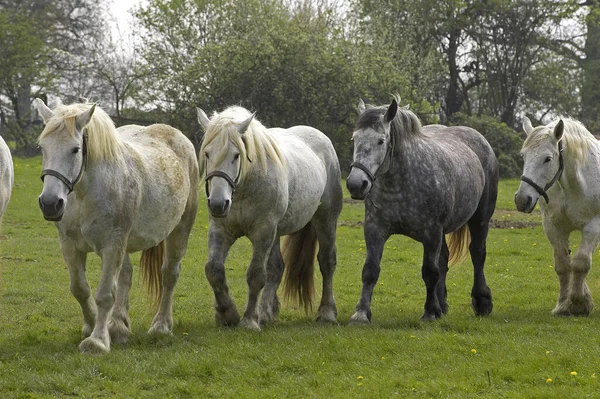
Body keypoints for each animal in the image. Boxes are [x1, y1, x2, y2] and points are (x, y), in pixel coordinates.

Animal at [34, 99, 199, 354]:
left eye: (75, 149)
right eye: (43, 148)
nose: (50, 203)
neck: (85, 193)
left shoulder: (112, 246)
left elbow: (104, 294)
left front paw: (97, 341)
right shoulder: (70, 246)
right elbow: (80, 288)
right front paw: (93, 325)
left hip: (180, 230)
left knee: (169, 274)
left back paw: (161, 326)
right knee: (126, 276)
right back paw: (119, 327)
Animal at [197, 105, 342, 332]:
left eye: (236, 155)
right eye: (207, 153)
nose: (218, 204)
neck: (244, 188)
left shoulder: (263, 231)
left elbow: (256, 275)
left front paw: (249, 320)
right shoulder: (221, 231)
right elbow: (214, 270)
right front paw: (227, 313)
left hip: (325, 220)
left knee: (327, 261)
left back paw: (327, 313)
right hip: (276, 232)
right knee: (276, 268)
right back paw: (265, 313)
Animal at [512, 117, 600, 318]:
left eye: (547, 159)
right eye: (523, 156)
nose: (522, 200)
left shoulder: (593, 227)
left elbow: (581, 263)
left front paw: (577, 303)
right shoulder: (553, 227)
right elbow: (563, 265)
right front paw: (563, 304)